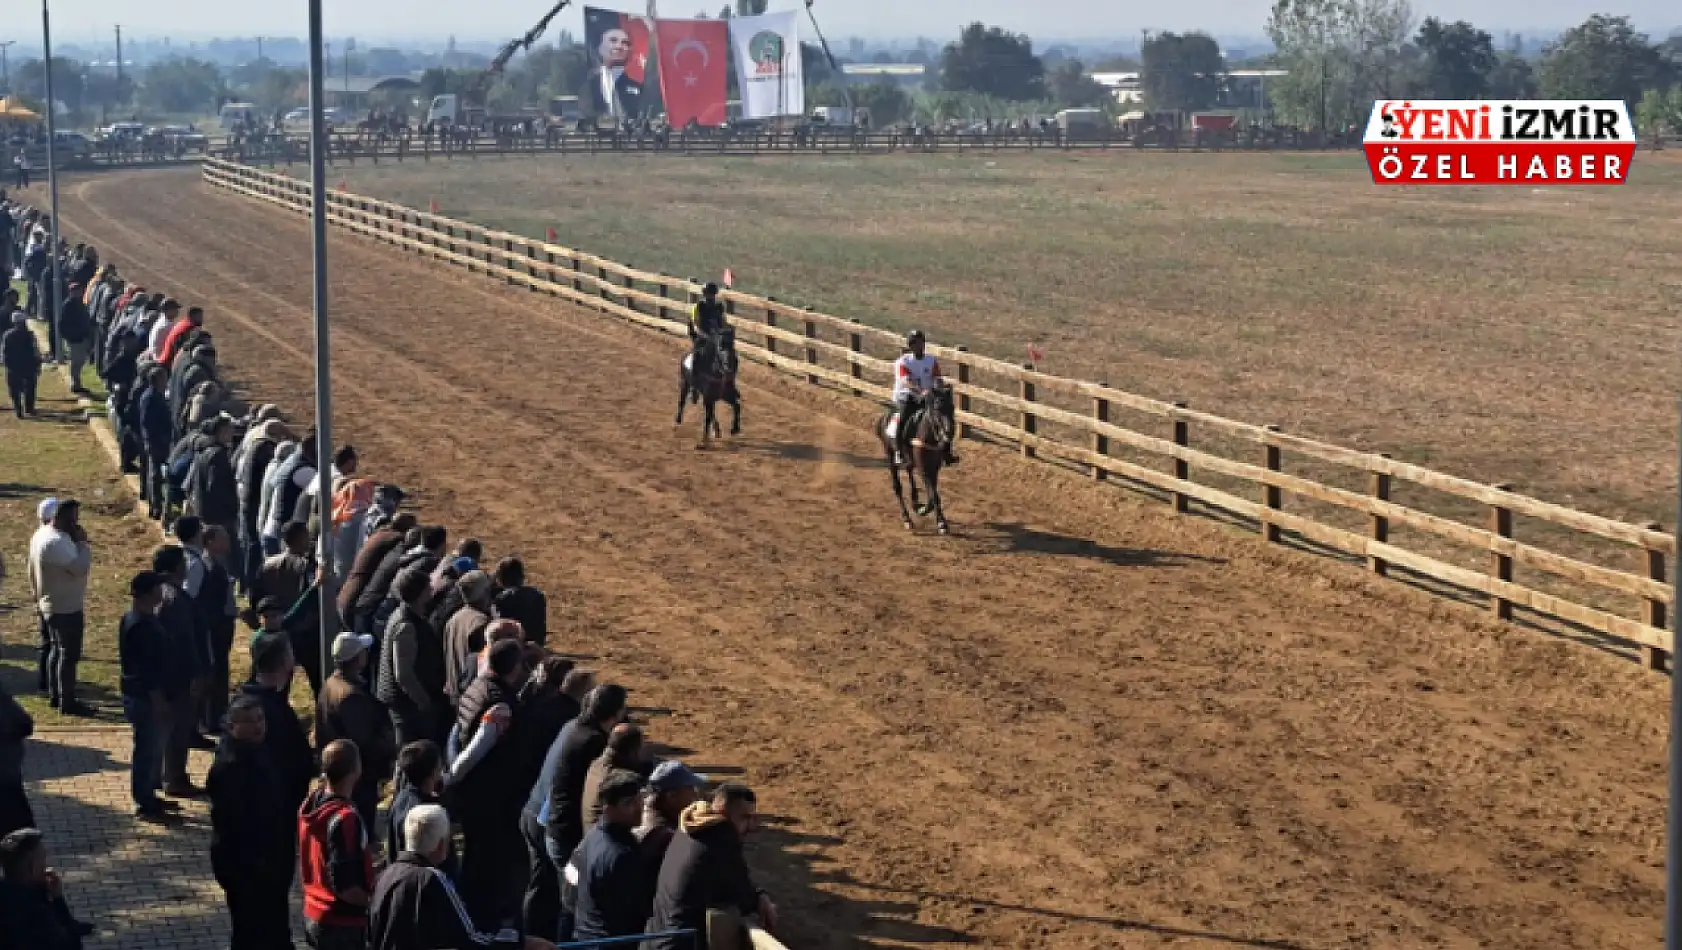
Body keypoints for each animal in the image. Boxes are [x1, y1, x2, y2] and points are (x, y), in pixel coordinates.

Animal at [874, 381, 955, 538]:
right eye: (937, 408)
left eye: (952, 407)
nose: (949, 432)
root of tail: (883, 418)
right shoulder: (924, 469)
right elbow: (934, 496)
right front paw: (941, 523)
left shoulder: (934, 468)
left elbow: (932, 496)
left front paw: (923, 509)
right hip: (890, 456)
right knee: (897, 487)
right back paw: (907, 519)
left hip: (910, 461)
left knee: (909, 472)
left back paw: (915, 502)